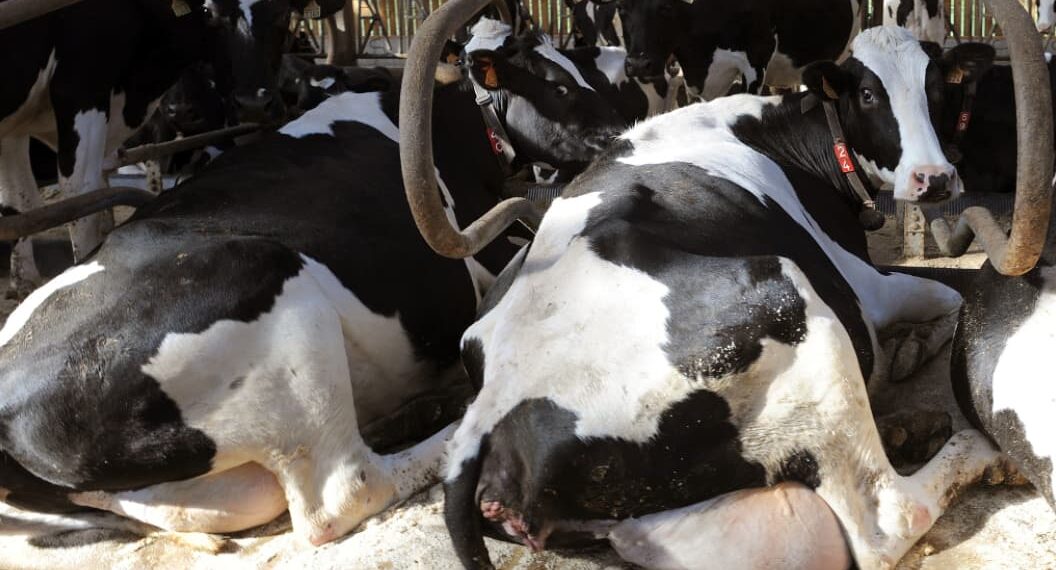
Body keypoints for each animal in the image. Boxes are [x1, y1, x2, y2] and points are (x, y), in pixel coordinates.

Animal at [0, 17, 625, 546]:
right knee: (346, 492)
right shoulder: (485, 249)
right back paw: (450, 417)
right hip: (276, 293)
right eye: (556, 85)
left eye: (582, 71)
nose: (622, 130)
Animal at [394, 25, 1009, 569]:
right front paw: (912, 346)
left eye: (938, 87)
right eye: (868, 93)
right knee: (889, 520)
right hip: (792, 307)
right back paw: (975, 452)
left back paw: (911, 430)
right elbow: (951, 293)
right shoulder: (867, 285)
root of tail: (489, 416)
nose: (934, 178)